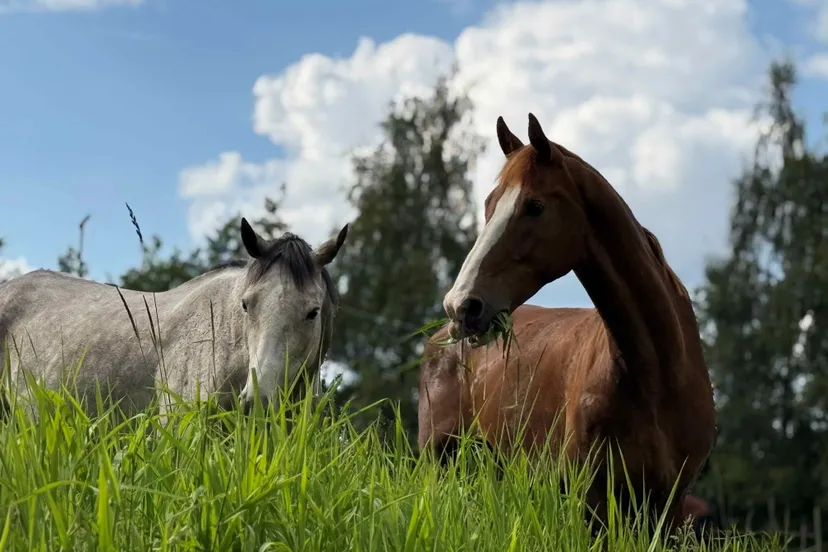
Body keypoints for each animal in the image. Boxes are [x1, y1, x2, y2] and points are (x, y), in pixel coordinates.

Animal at [418, 113, 716, 534]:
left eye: (534, 206)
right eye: (490, 204)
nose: (461, 306)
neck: (657, 376)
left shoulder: (668, 507)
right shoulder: (592, 501)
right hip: (441, 460)